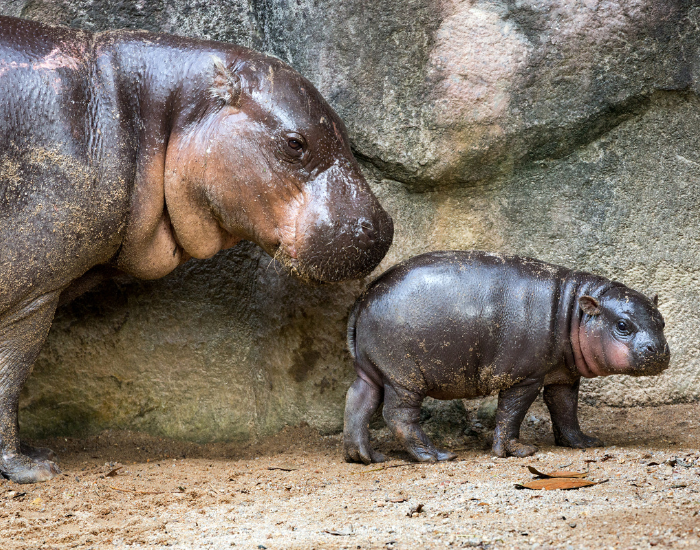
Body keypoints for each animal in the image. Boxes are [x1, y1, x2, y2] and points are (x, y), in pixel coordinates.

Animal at [0, 15, 393, 483]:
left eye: (346, 133)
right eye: (295, 143)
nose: (382, 227)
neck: (139, 111)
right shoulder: (30, 292)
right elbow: (9, 376)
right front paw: (33, 467)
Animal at [344, 251, 670, 464]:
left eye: (662, 321)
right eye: (623, 325)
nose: (660, 350)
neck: (573, 312)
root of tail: (364, 298)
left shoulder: (563, 375)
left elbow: (565, 410)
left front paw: (584, 443)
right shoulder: (525, 377)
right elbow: (512, 413)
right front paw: (519, 451)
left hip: (373, 371)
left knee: (358, 401)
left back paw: (365, 457)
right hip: (404, 376)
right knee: (398, 416)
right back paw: (438, 455)